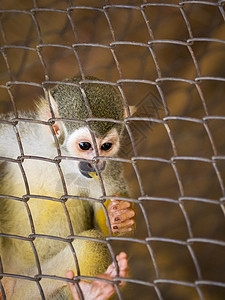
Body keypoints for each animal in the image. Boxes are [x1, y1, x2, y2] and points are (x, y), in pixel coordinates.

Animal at [0, 76, 134, 298]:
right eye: (85, 146)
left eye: (106, 147)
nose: (96, 164)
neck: (60, 161)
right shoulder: (21, 135)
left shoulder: (108, 170)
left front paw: (120, 217)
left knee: (91, 245)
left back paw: (93, 293)